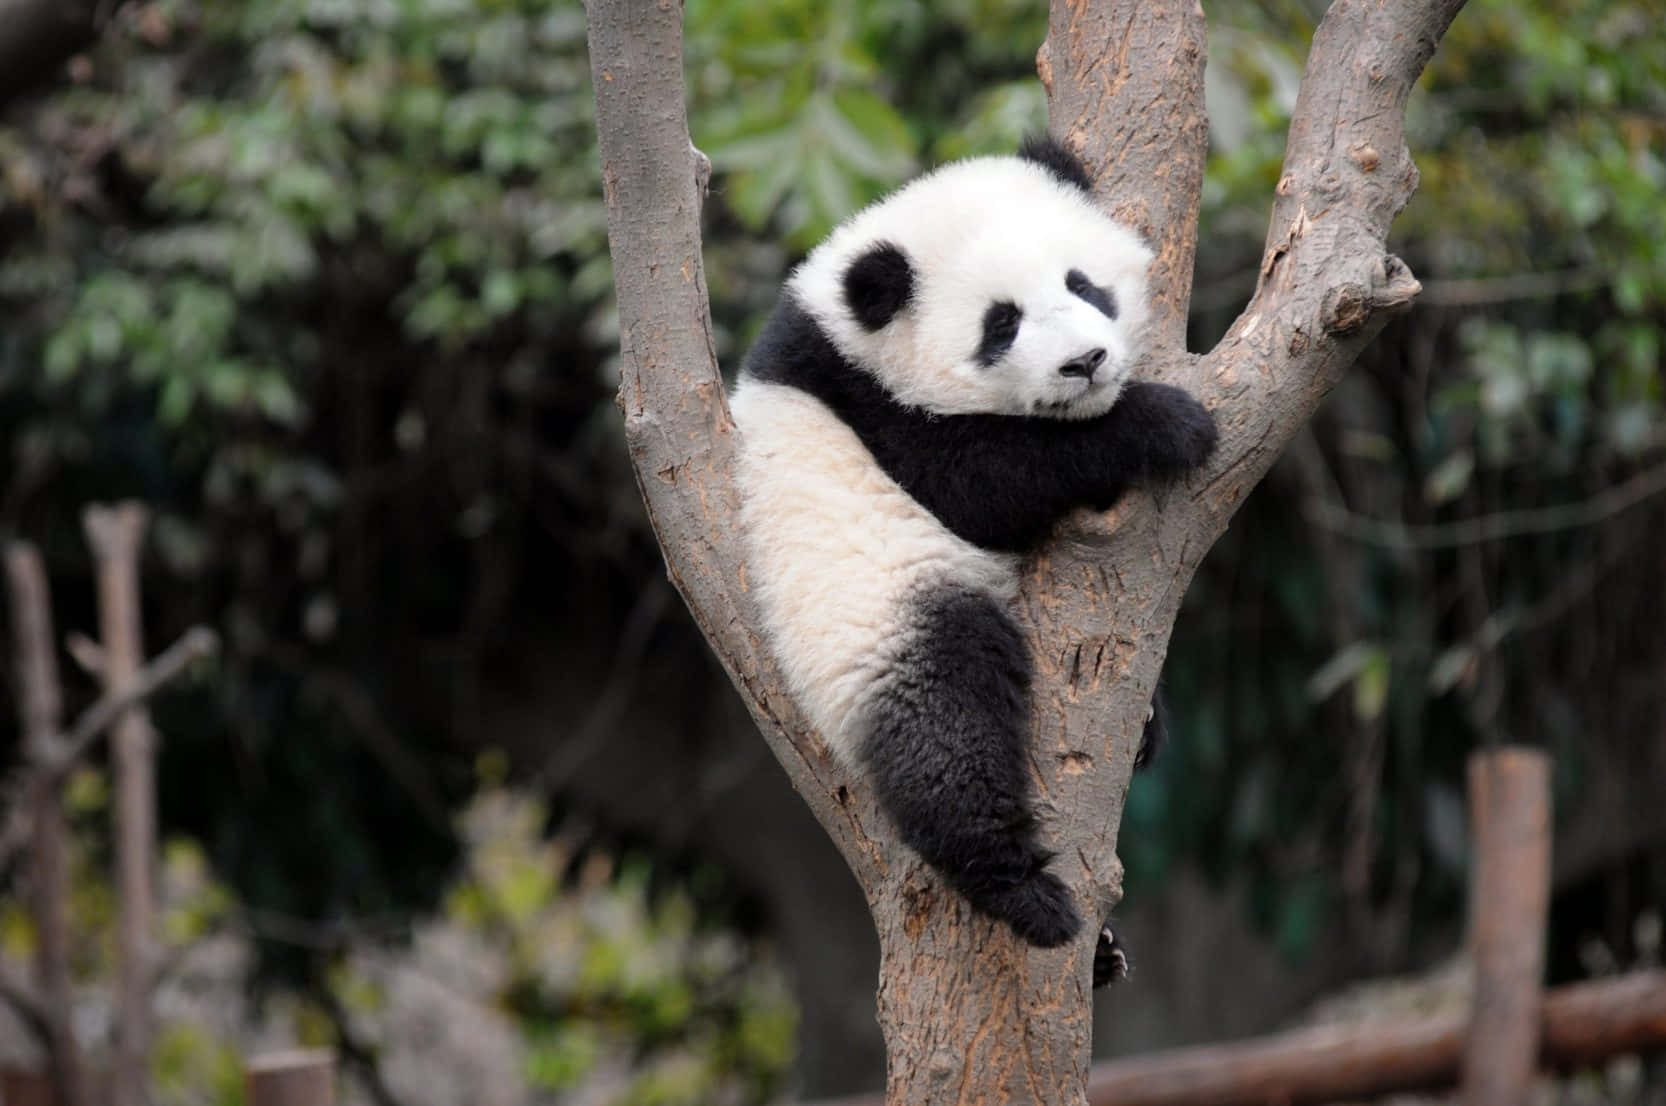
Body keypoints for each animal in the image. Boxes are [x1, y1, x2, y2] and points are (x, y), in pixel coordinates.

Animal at [729, 135, 1216, 957]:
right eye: (1001, 325)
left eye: (1082, 284)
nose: (1085, 362)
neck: (844, 330)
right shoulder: (873, 409)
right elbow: (978, 484)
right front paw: (1168, 423)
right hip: (870, 617)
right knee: (945, 725)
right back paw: (1020, 889)